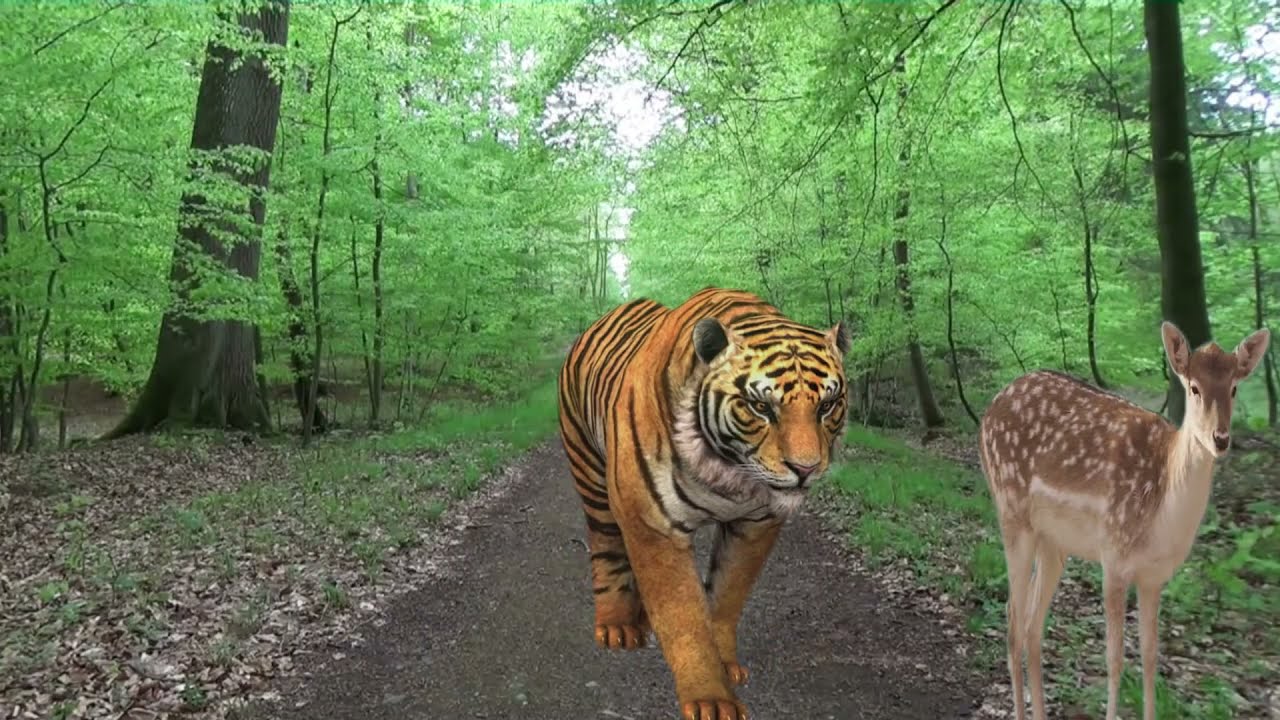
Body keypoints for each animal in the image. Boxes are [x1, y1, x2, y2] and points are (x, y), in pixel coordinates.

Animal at [557, 287, 850, 720]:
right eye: (761, 407)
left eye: (827, 406)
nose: (805, 468)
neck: (728, 471)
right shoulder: (654, 524)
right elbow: (684, 616)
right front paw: (710, 699)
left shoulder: (756, 525)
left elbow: (727, 595)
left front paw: (726, 666)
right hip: (590, 471)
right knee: (606, 546)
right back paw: (616, 627)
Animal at [978, 321, 1270, 720]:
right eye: (1193, 387)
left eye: (1234, 386)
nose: (1221, 439)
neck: (1161, 520)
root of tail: (987, 413)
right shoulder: (1114, 558)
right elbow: (1114, 659)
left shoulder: (1155, 576)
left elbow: (1149, 658)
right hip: (1011, 512)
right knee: (1012, 619)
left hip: (1053, 542)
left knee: (1031, 624)